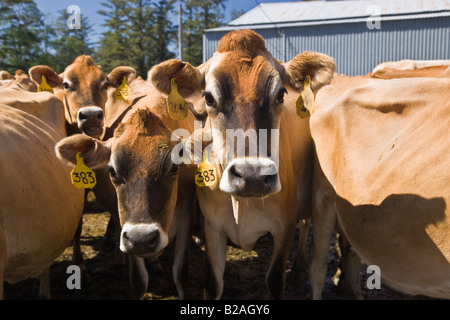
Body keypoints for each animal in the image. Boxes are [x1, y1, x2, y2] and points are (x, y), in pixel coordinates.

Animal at [149, 28, 336, 298]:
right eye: (209, 97)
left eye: (280, 94)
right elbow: (213, 283)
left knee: (306, 224)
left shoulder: (285, 224)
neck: (241, 204)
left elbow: (275, 280)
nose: (252, 176)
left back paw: (300, 268)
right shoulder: (213, 226)